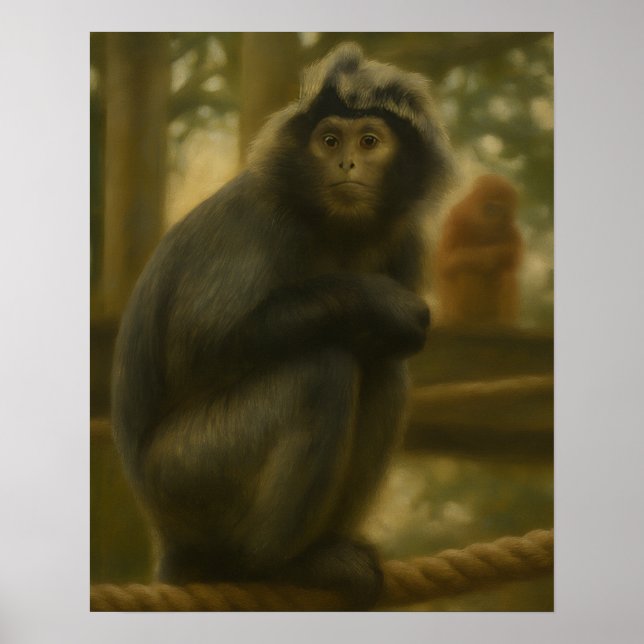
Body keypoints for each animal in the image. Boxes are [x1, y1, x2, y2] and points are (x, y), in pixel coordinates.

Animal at [111, 42, 453, 609]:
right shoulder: (257, 221)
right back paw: (273, 564)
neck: (335, 226)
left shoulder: (406, 238)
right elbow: (202, 349)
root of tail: (165, 533)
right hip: (186, 475)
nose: (346, 162)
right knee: (321, 367)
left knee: (381, 366)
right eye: (330, 141)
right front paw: (383, 303)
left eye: (369, 141)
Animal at [434, 174, 523, 328]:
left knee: (505, 274)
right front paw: (488, 256)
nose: (494, 216)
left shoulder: (509, 229)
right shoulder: (456, 219)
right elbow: (445, 265)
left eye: (500, 209)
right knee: (466, 269)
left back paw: (501, 323)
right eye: (490, 207)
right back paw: (462, 320)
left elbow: (511, 262)